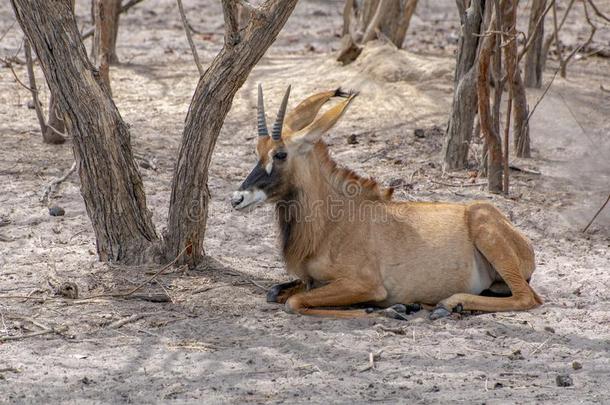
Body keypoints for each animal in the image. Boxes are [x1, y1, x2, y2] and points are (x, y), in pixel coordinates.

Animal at [230, 86, 540, 318]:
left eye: (280, 154)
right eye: (258, 151)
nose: (237, 198)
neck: (332, 222)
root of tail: (525, 244)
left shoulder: (364, 284)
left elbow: (294, 303)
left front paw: (381, 310)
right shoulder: (310, 280)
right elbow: (275, 293)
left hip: (486, 230)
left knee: (528, 298)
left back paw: (448, 303)